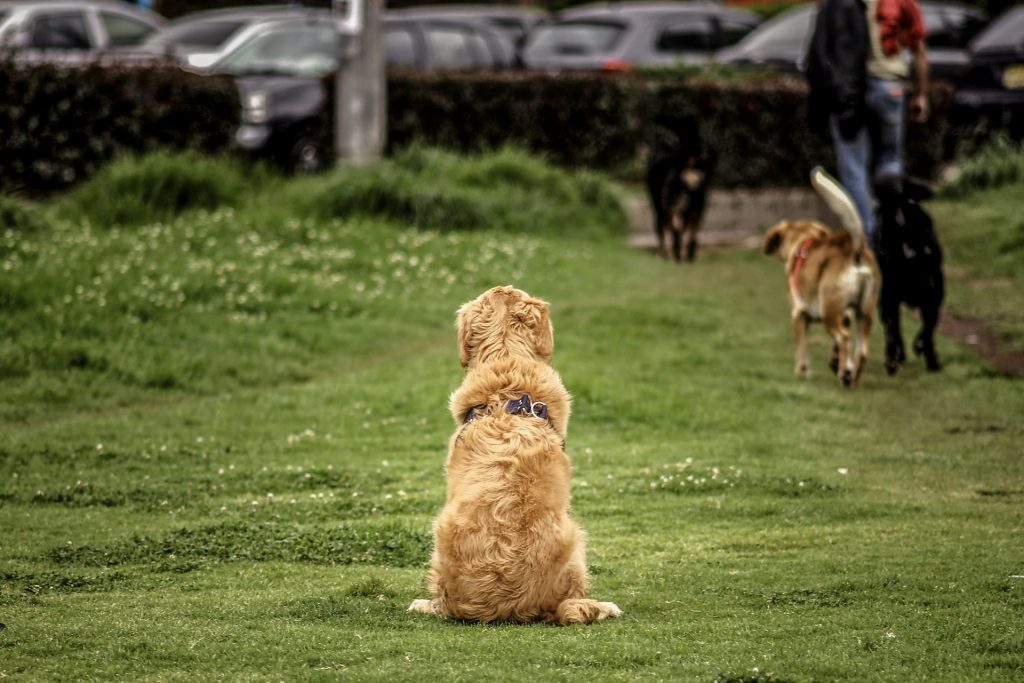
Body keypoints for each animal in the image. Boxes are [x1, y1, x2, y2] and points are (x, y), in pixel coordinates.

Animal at [643, 120, 716, 262]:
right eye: (673, 183)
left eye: (685, 187)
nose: (671, 204)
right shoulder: (673, 211)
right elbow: (677, 233)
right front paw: (677, 255)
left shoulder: (696, 213)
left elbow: (690, 235)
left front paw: (688, 256)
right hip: (660, 208)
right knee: (661, 228)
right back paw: (665, 253)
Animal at [765, 167, 884, 387]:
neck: (803, 242)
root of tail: (853, 247)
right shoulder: (845, 314)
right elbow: (834, 345)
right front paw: (835, 361)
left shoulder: (798, 314)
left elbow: (801, 348)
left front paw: (802, 372)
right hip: (864, 311)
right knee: (861, 351)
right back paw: (851, 378)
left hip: (829, 310)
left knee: (843, 337)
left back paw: (844, 373)